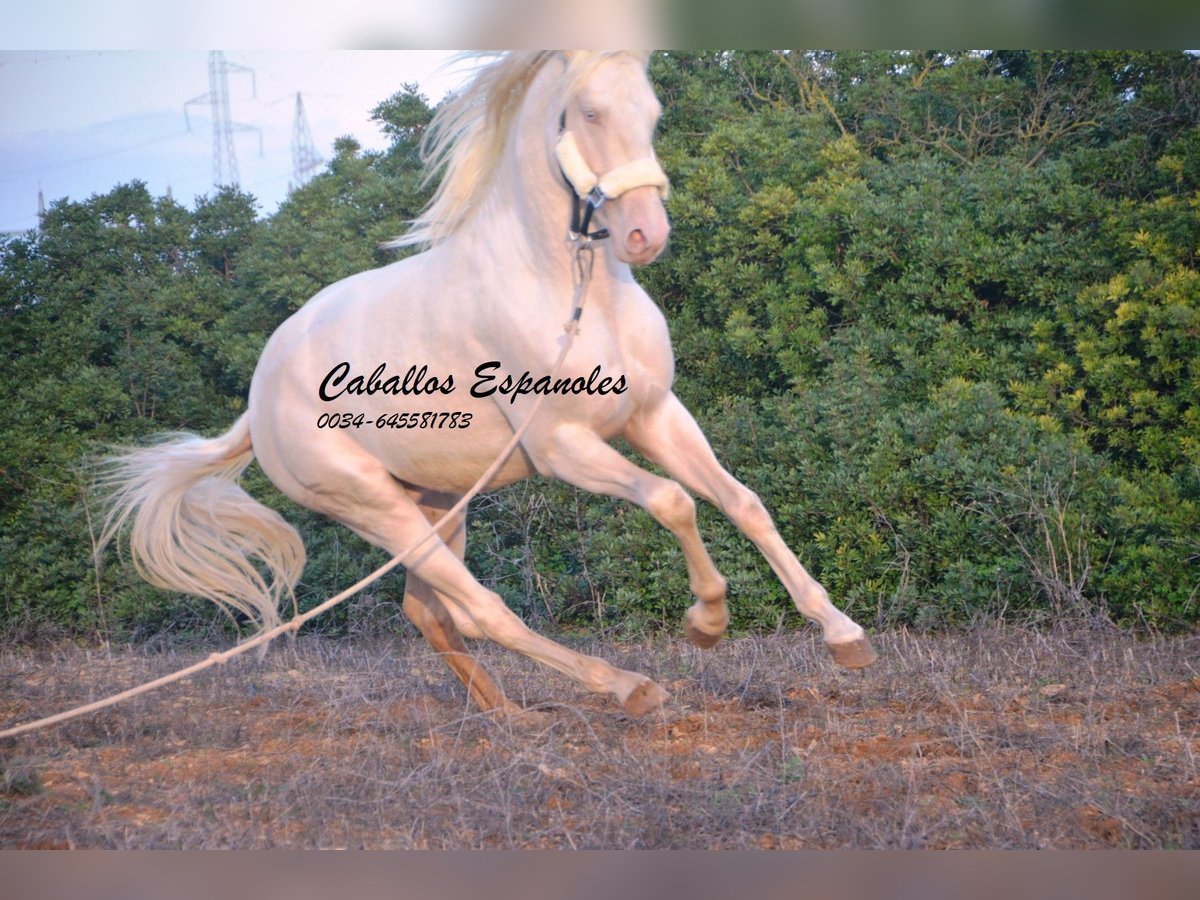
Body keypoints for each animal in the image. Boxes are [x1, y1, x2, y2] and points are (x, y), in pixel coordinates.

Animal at [98, 51, 878, 720]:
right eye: (588, 112)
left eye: (652, 109)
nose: (646, 235)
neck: (567, 292)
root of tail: (257, 404)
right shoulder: (563, 447)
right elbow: (672, 501)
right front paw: (707, 622)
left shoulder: (655, 414)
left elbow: (742, 502)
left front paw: (844, 637)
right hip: (378, 510)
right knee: (480, 609)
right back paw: (625, 688)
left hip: (438, 500)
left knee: (429, 612)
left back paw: (506, 715)